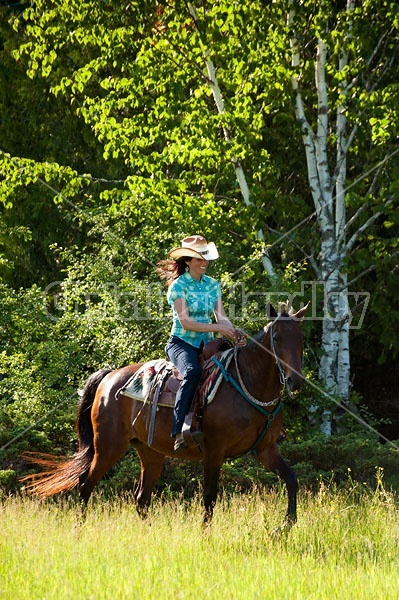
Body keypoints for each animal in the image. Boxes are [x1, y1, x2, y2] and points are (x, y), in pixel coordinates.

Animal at [22, 304, 310, 524]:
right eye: (277, 338)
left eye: (301, 339)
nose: (295, 381)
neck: (249, 383)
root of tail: (109, 377)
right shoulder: (215, 450)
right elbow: (209, 496)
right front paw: (205, 537)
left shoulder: (266, 449)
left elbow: (292, 479)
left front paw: (285, 526)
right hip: (108, 446)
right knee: (85, 483)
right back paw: (78, 530)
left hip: (150, 453)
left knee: (141, 499)